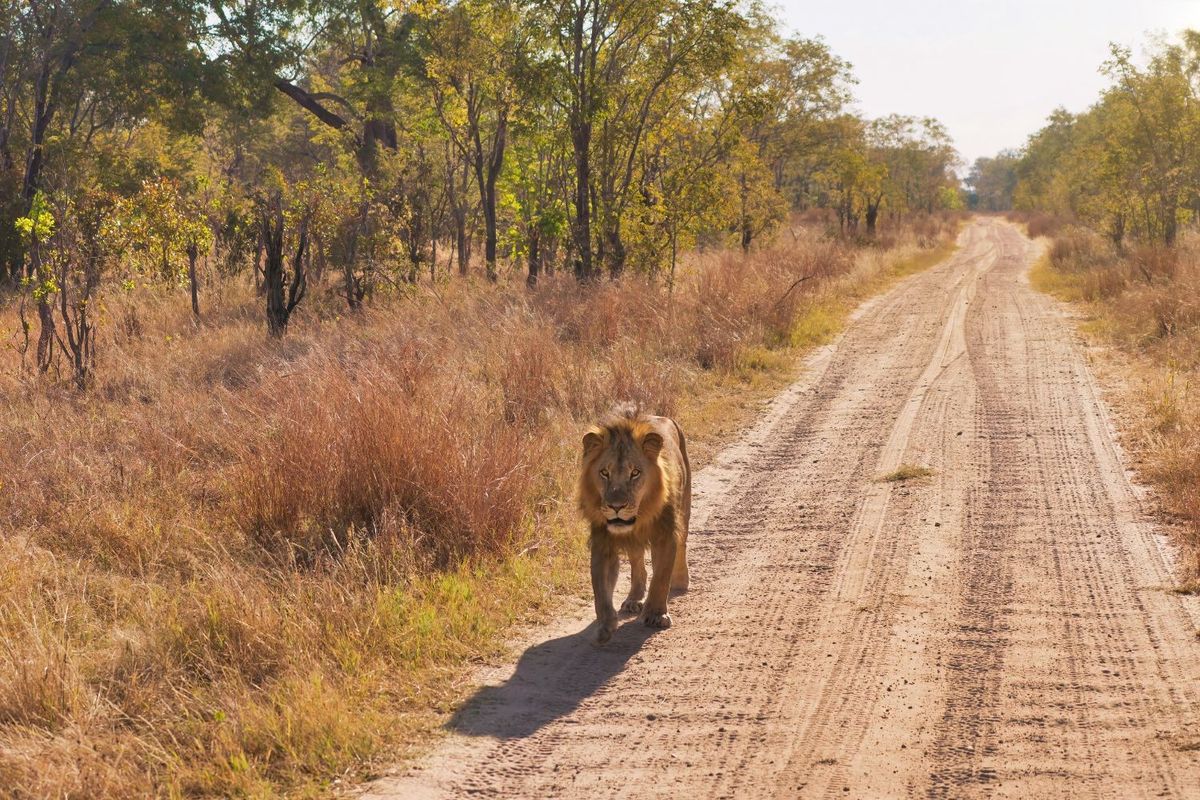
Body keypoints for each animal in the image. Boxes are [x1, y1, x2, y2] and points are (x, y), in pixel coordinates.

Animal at [578, 404, 691, 645]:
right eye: (604, 473)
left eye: (635, 473)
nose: (616, 506)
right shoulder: (603, 542)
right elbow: (600, 589)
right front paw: (605, 625)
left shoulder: (665, 535)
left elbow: (661, 577)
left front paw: (656, 615)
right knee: (637, 561)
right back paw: (634, 599)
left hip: (685, 508)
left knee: (682, 545)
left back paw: (681, 580)